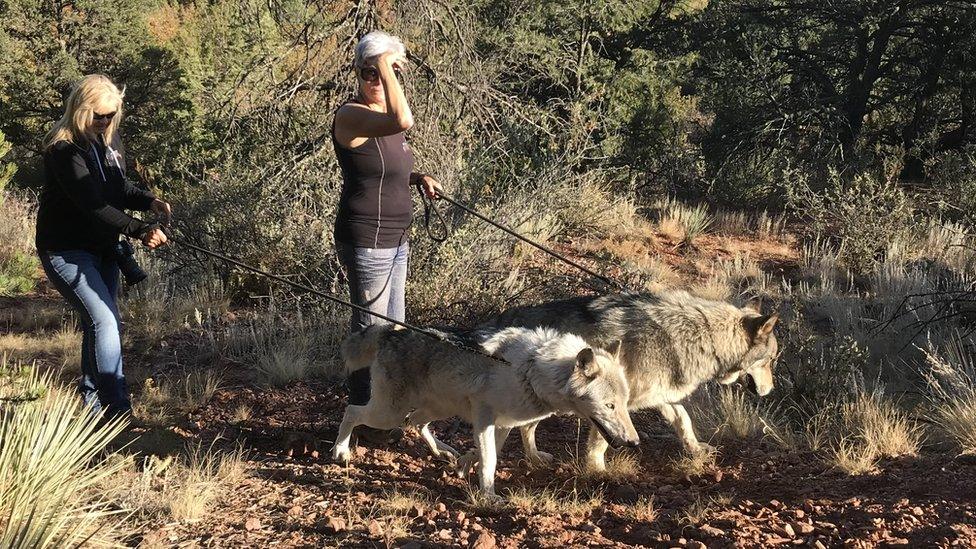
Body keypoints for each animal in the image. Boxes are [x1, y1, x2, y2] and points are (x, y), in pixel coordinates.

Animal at [332, 324, 644, 498]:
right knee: (352, 411)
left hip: (437, 408)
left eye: (624, 404)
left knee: (416, 422)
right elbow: (491, 460)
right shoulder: (484, 417)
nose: (634, 442)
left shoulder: (504, 423)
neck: (531, 369)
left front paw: (464, 464)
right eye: (609, 405)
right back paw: (340, 451)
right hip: (389, 413)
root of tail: (390, 332)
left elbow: (486, 453)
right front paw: (489, 496)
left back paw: (444, 451)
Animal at [482, 288, 776, 468]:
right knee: (525, 426)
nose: (770, 391)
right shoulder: (612, 404)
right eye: (772, 360)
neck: (700, 337)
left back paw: (534, 458)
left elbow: (684, 419)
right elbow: (602, 440)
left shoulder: (659, 396)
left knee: (526, 426)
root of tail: (502, 318)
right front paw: (597, 469)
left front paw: (694, 448)